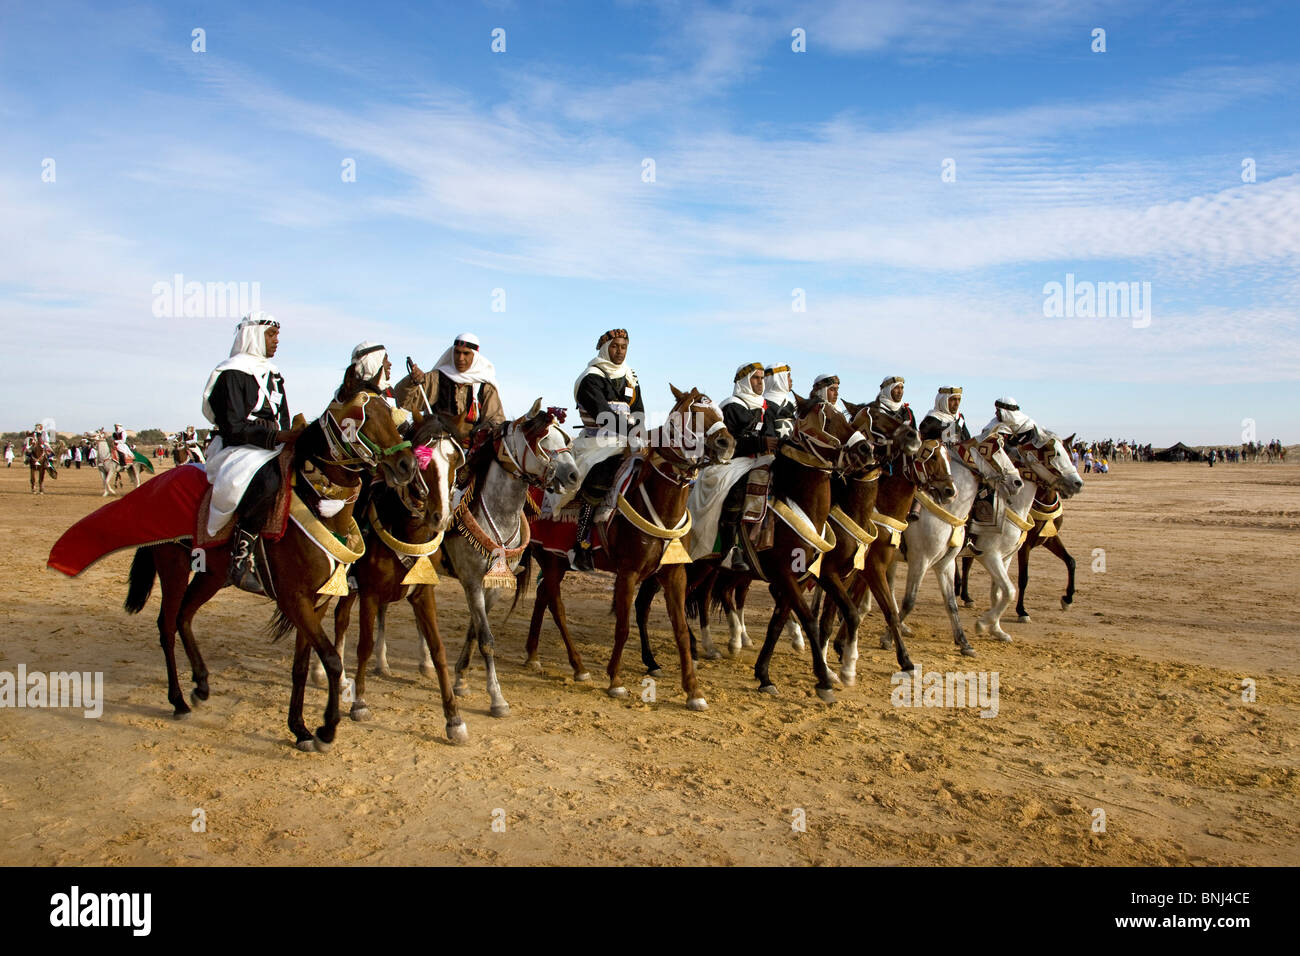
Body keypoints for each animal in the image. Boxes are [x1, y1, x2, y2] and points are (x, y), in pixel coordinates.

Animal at [122, 385, 416, 749]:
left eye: (391, 414)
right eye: (364, 418)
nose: (407, 464)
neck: (319, 507)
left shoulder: (316, 602)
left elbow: (302, 665)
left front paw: (300, 728)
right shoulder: (295, 600)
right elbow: (332, 660)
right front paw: (326, 728)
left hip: (211, 576)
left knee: (184, 617)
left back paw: (201, 685)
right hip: (173, 567)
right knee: (166, 625)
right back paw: (177, 700)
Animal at [894, 434, 1024, 655]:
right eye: (995, 451)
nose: (1017, 482)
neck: (949, 511)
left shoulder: (946, 563)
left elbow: (951, 603)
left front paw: (964, 641)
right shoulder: (920, 560)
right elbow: (910, 600)